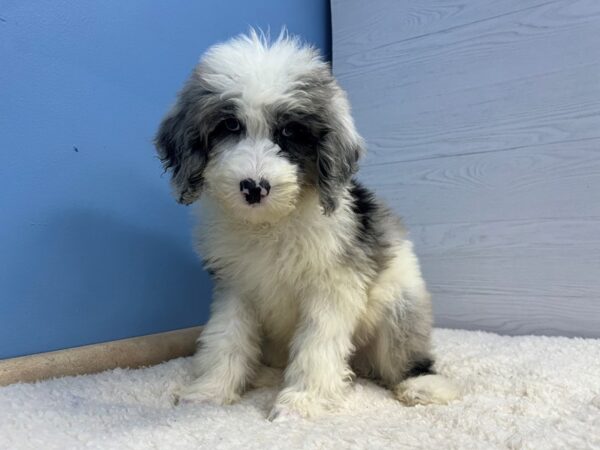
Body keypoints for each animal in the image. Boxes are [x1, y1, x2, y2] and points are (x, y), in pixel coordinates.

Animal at [156, 30, 460, 418]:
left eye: (289, 131)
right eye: (230, 125)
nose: (254, 187)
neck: (272, 224)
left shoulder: (332, 286)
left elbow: (318, 343)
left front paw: (303, 401)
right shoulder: (236, 286)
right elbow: (226, 337)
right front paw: (210, 392)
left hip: (399, 307)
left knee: (405, 359)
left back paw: (423, 385)